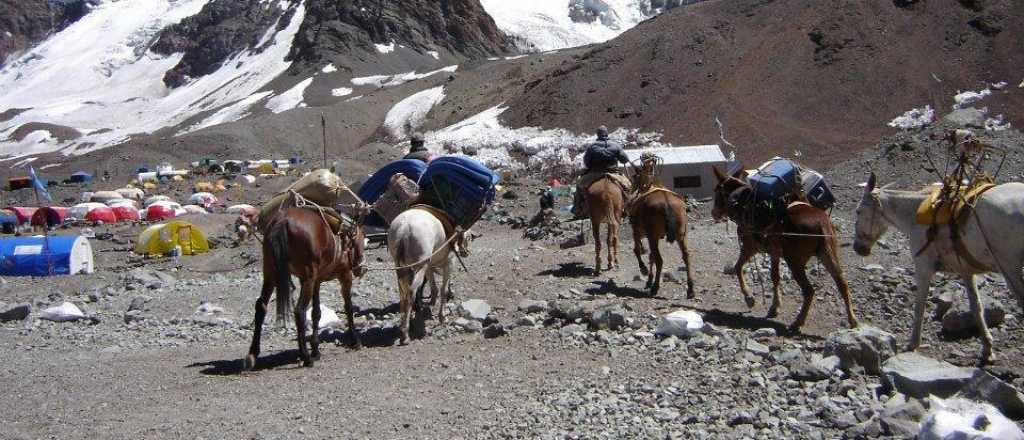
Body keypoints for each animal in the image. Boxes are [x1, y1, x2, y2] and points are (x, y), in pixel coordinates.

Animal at [241, 207, 366, 370]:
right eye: (363, 241)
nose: (361, 269)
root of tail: (282, 221)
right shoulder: (344, 275)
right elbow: (348, 307)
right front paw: (354, 340)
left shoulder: (316, 281)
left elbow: (316, 313)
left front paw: (316, 349)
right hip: (307, 277)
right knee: (299, 310)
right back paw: (306, 357)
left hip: (271, 273)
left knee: (261, 307)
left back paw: (252, 355)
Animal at [712, 166, 856, 331]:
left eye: (717, 191)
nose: (714, 213)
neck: (741, 202)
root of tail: (821, 225)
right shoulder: (774, 252)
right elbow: (775, 276)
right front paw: (775, 306)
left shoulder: (750, 247)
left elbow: (737, 267)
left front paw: (749, 298)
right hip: (828, 255)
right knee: (842, 284)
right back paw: (853, 320)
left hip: (794, 260)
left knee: (809, 290)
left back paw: (798, 322)